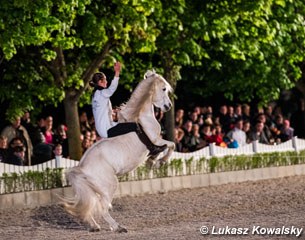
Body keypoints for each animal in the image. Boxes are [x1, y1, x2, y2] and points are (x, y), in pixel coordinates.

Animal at [63, 69, 175, 232]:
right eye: (164, 89)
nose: (168, 106)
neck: (140, 116)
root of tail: (82, 168)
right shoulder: (156, 140)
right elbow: (171, 145)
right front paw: (160, 161)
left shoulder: (156, 140)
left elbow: (166, 147)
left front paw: (153, 160)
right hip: (110, 185)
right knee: (102, 208)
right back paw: (118, 227)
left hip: (92, 190)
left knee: (90, 206)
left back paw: (94, 226)